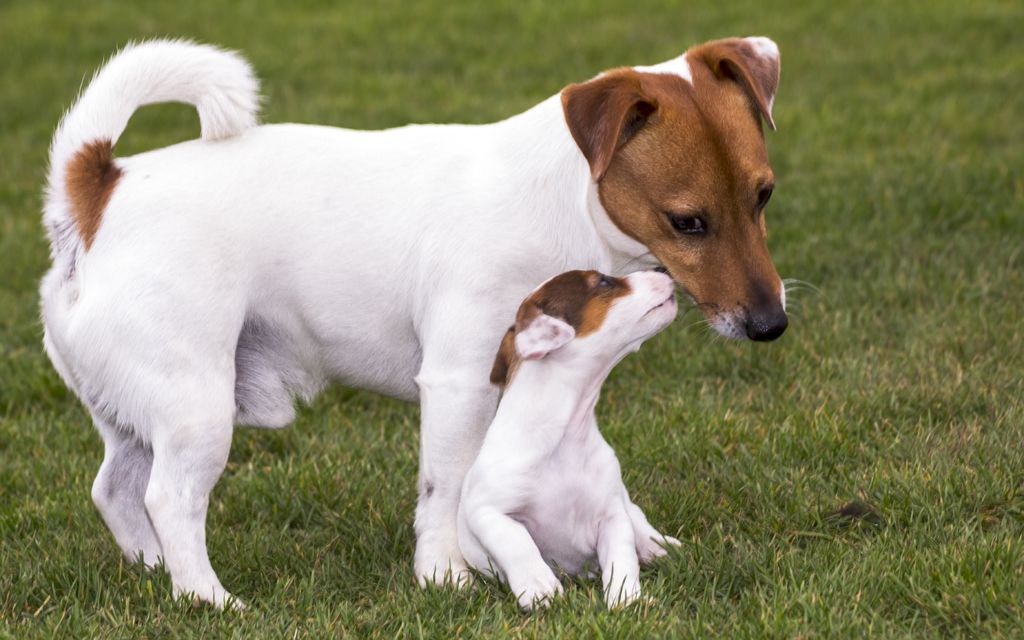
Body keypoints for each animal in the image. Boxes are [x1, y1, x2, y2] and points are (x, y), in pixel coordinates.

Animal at [460, 266, 684, 606]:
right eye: (603, 282)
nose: (661, 268)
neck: (565, 438)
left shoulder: (611, 514)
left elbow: (622, 559)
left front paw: (626, 599)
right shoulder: (486, 509)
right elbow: (517, 542)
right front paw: (538, 586)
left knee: (638, 519)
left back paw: (657, 546)